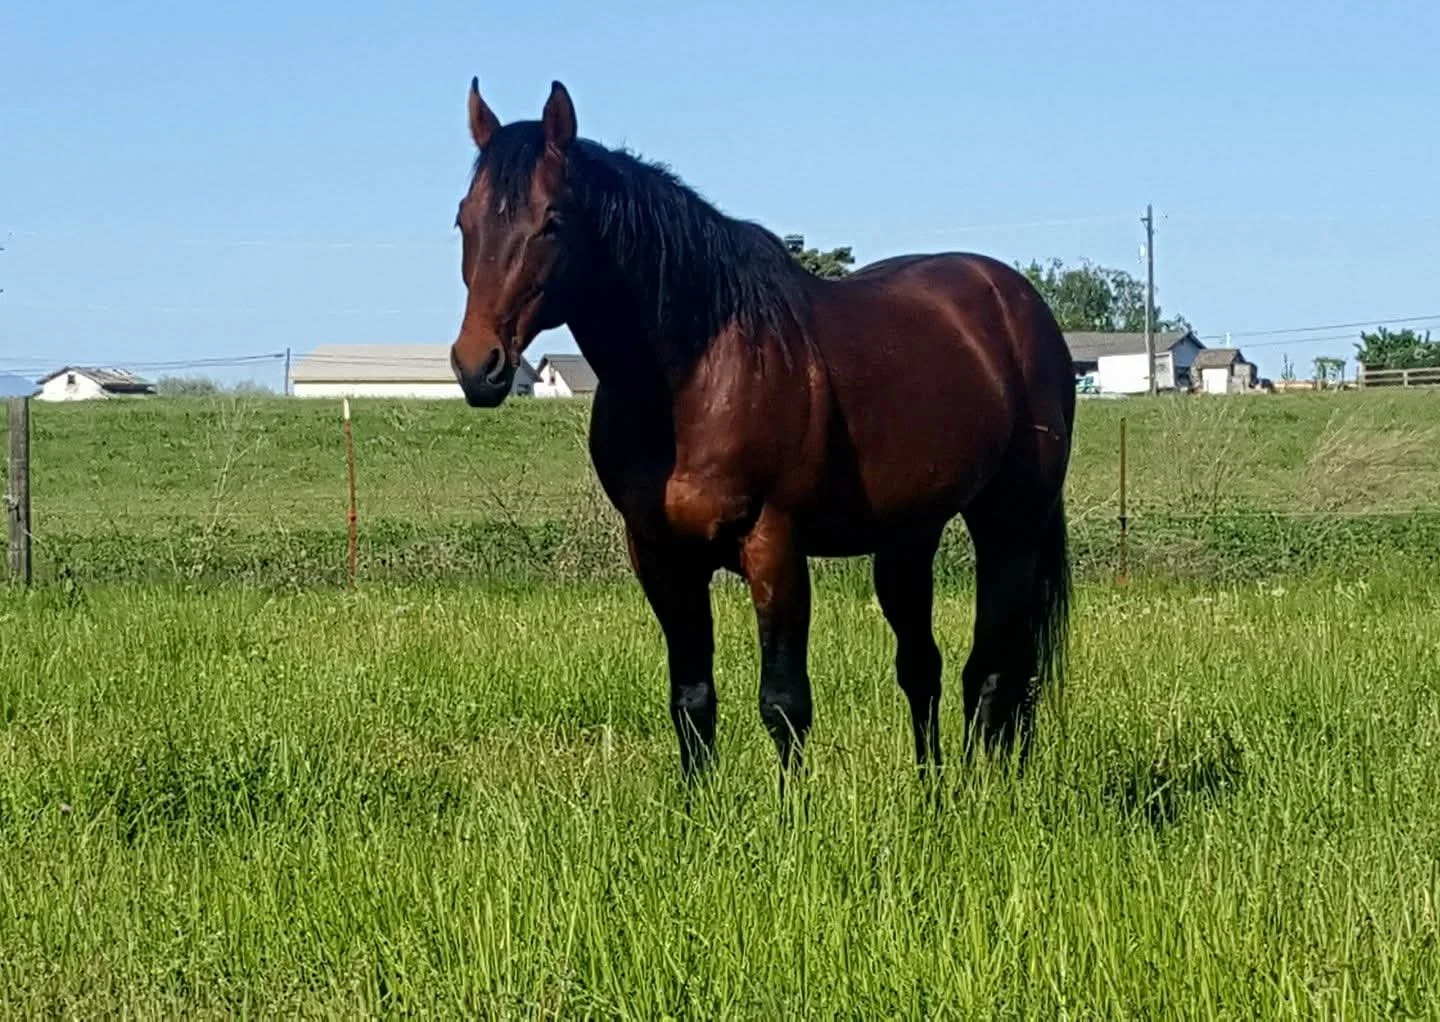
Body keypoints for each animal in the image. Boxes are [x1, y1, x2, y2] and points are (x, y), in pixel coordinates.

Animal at [449, 78, 1075, 790]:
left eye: (551, 220)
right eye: (465, 220)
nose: (478, 366)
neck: (693, 377)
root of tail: (1017, 304)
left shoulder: (773, 546)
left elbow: (784, 703)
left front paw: (791, 814)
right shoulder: (660, 555)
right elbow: (691, 698)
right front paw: (696, 810)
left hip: (1009, 526)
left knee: (995, 669)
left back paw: (981, 789)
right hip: (908, 538)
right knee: (925, 668)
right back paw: (931, 791)